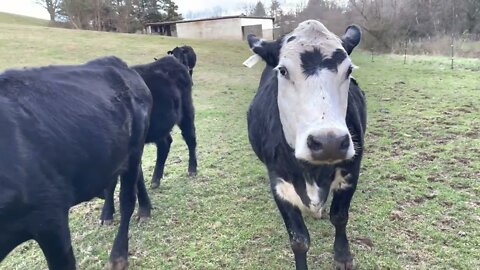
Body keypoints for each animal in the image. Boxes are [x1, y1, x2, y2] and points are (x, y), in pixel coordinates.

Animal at [99, 54, 197, 224]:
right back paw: (155, 180)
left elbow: (136, 176)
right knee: (165, 143)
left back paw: (192, 169)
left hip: (186, 112)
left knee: (190, 138)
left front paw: (144, 210)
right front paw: (107, 214)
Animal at [246, 20, 366, 268]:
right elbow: (299, 240)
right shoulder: (278, 181)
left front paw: (343, 255)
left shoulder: (351, 170)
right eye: (283, 71)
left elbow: (339, 217)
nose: (329, 142)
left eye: (349, 70)